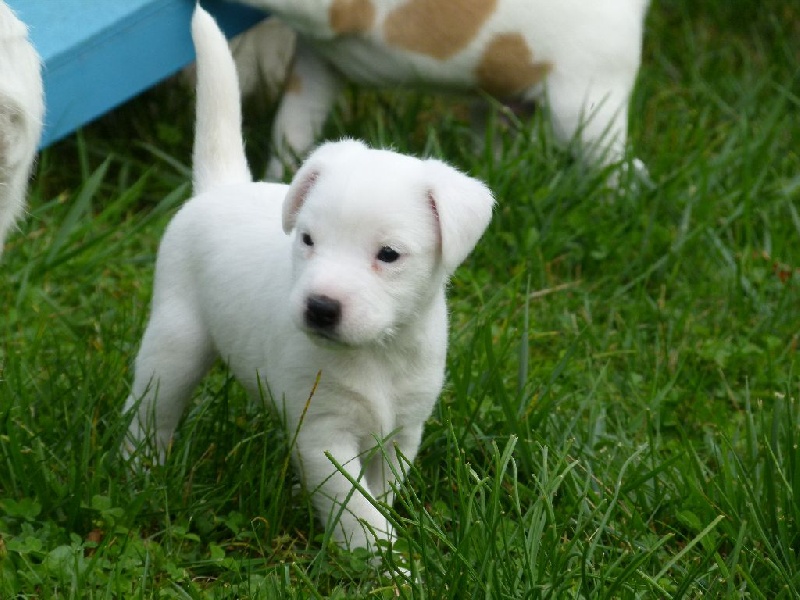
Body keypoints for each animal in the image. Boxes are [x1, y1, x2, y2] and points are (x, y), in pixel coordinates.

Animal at [124, 7, 494, 552]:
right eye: (307, 239)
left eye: (388, 254)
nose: (320, 307)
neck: (378, 352)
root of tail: (222, 187)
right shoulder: (324, 436)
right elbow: (359, 514)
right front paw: (390, 564)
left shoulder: (403, 432)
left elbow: (378, 498)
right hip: (175, 346)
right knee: (150, 413)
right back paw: (139, 475)